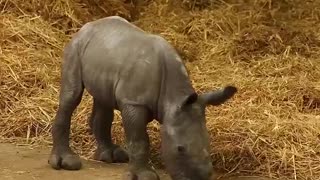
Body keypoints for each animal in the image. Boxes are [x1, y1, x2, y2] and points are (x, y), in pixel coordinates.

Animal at [48, 15, 236, 180]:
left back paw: (111, 157)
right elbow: (139, 140)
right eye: (180, 149)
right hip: (76, 47)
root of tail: (88, 25)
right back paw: (67, 163)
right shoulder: (134, 102)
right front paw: (145, 176)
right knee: (71, 95)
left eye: (208, 144)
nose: (201, 177)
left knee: (103, 100)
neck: (172, 99)